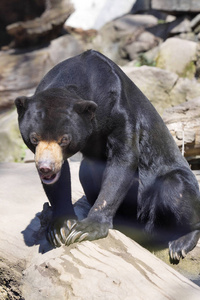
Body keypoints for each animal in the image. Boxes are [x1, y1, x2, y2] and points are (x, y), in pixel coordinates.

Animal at [15, 49, 200, 260]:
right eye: (34, 138)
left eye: (64, 139)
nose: (46, 168)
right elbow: (60, 180)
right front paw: (60, 227)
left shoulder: (119, 109)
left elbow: (123, 158)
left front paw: (86, 228)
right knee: (86, 170)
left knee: (175, 187)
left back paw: (181, 243)